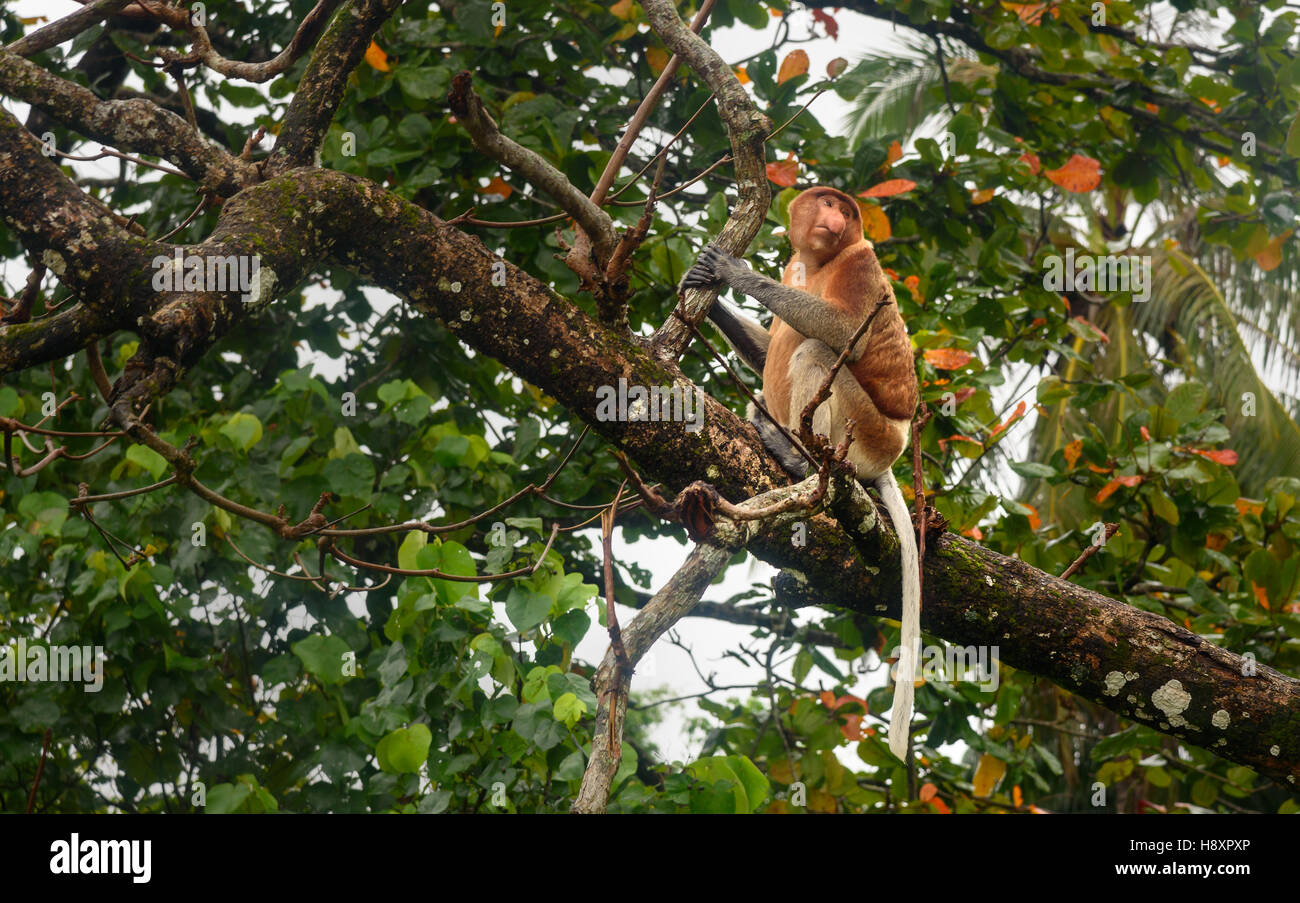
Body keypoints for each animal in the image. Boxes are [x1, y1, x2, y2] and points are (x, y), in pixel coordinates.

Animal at [686, 185, 920, 763]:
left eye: (846, 210)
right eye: (828, 203)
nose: (835, 218)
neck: (817, 262)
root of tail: (891, 456)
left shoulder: (860, 262)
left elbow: (844, 331)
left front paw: (732, 270)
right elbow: (768, 347)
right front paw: (708, 292)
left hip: (868, 431)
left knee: (818, 349)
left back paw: (800, 460)